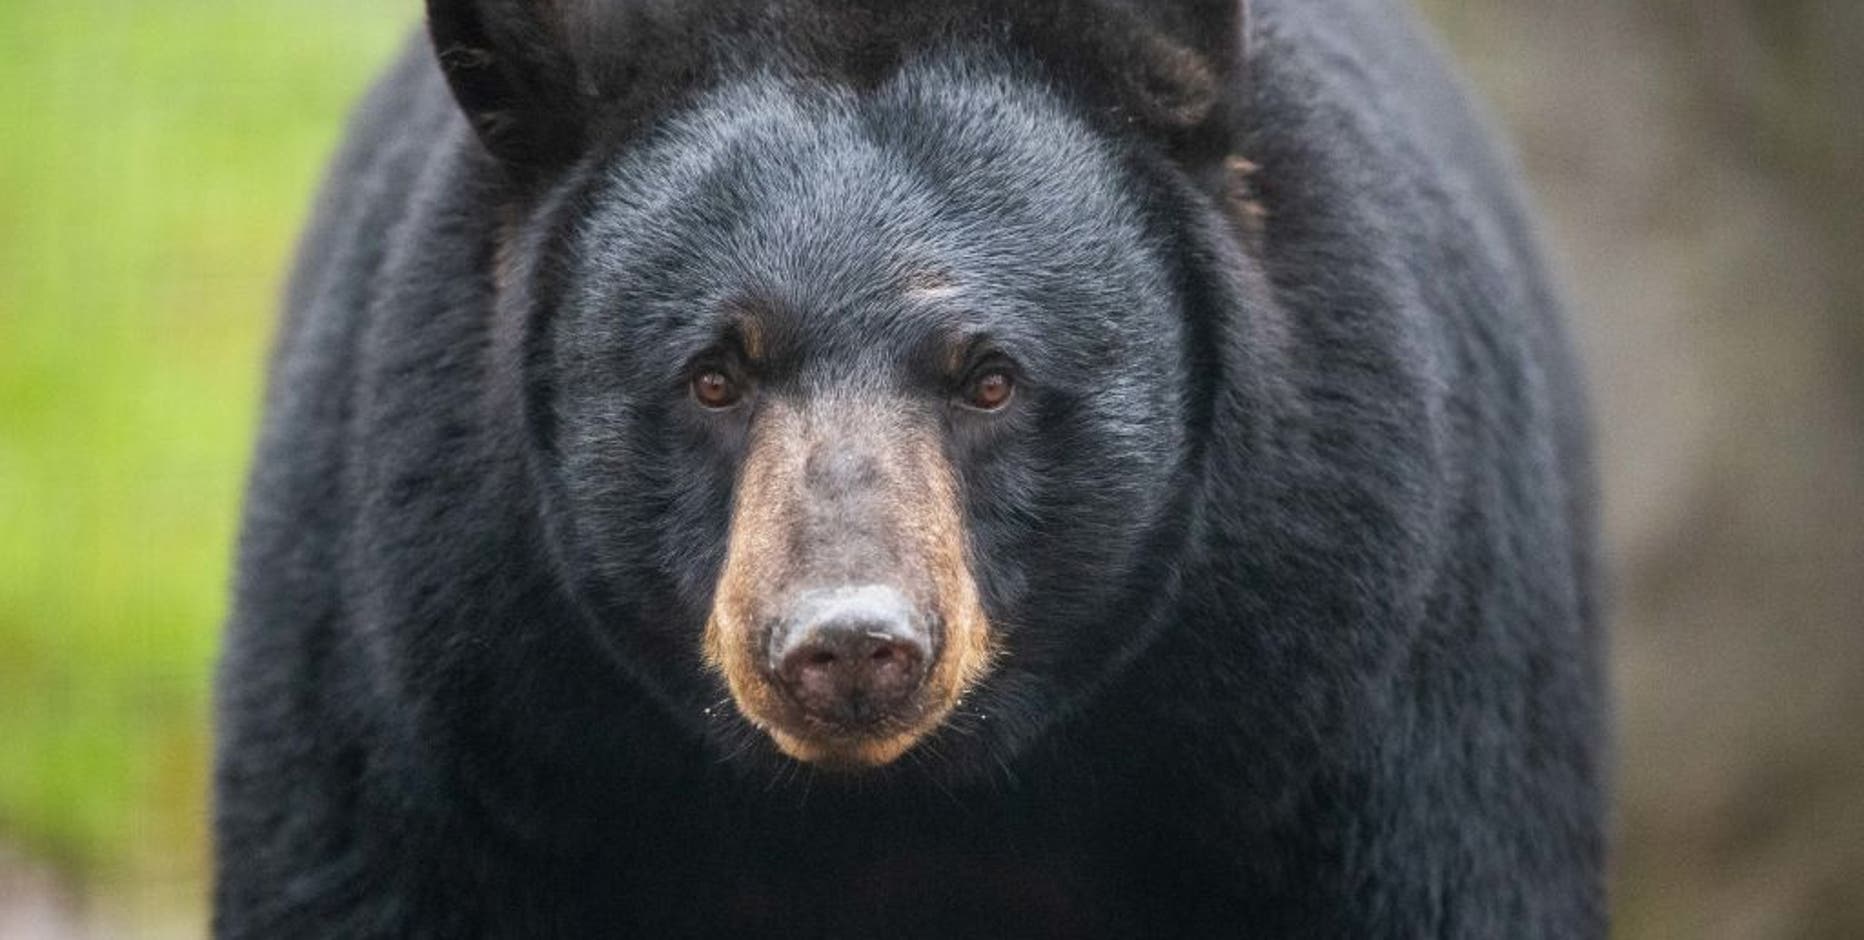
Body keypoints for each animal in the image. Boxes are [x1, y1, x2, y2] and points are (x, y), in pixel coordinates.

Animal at [214, 0, 1607, 936]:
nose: (847, 645)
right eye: (712, 374)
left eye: (988, 376)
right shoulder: (444, 705)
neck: (894, 812)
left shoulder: (1350, 699)